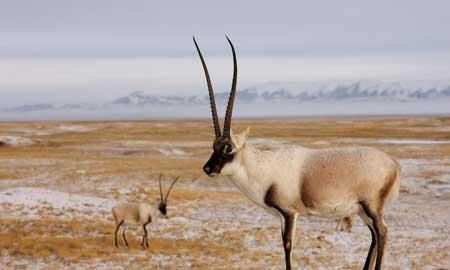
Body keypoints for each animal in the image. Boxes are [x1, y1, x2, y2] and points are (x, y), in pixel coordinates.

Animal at [193, 35, 400, 270]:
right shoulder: (282, 217)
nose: (208, 168)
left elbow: (288, 245)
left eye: (228, 148)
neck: (264, 166)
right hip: (363, 211)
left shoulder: (290, 213)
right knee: (374, 235)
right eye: (213, 147)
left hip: (371, 207)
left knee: (382, 232)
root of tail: (394, 165)